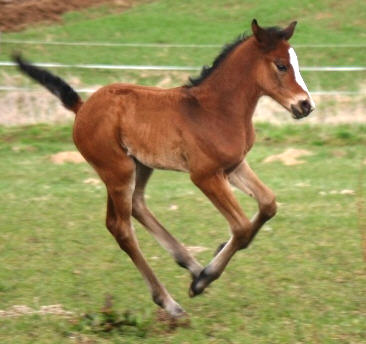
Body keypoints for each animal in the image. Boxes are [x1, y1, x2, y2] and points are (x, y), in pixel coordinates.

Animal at [14, 19, 314, 318]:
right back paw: (171, 301)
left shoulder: (234, 166)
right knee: (121, 227)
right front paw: (203, 280)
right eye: (281, 65)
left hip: (139, 166)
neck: (215, 109)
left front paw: (210, 261)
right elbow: (241, 227)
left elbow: (268, 204)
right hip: (117, 170)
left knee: (136, 206)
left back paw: (192, 266)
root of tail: (82, 107)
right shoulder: (205, 175)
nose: (306, 105)